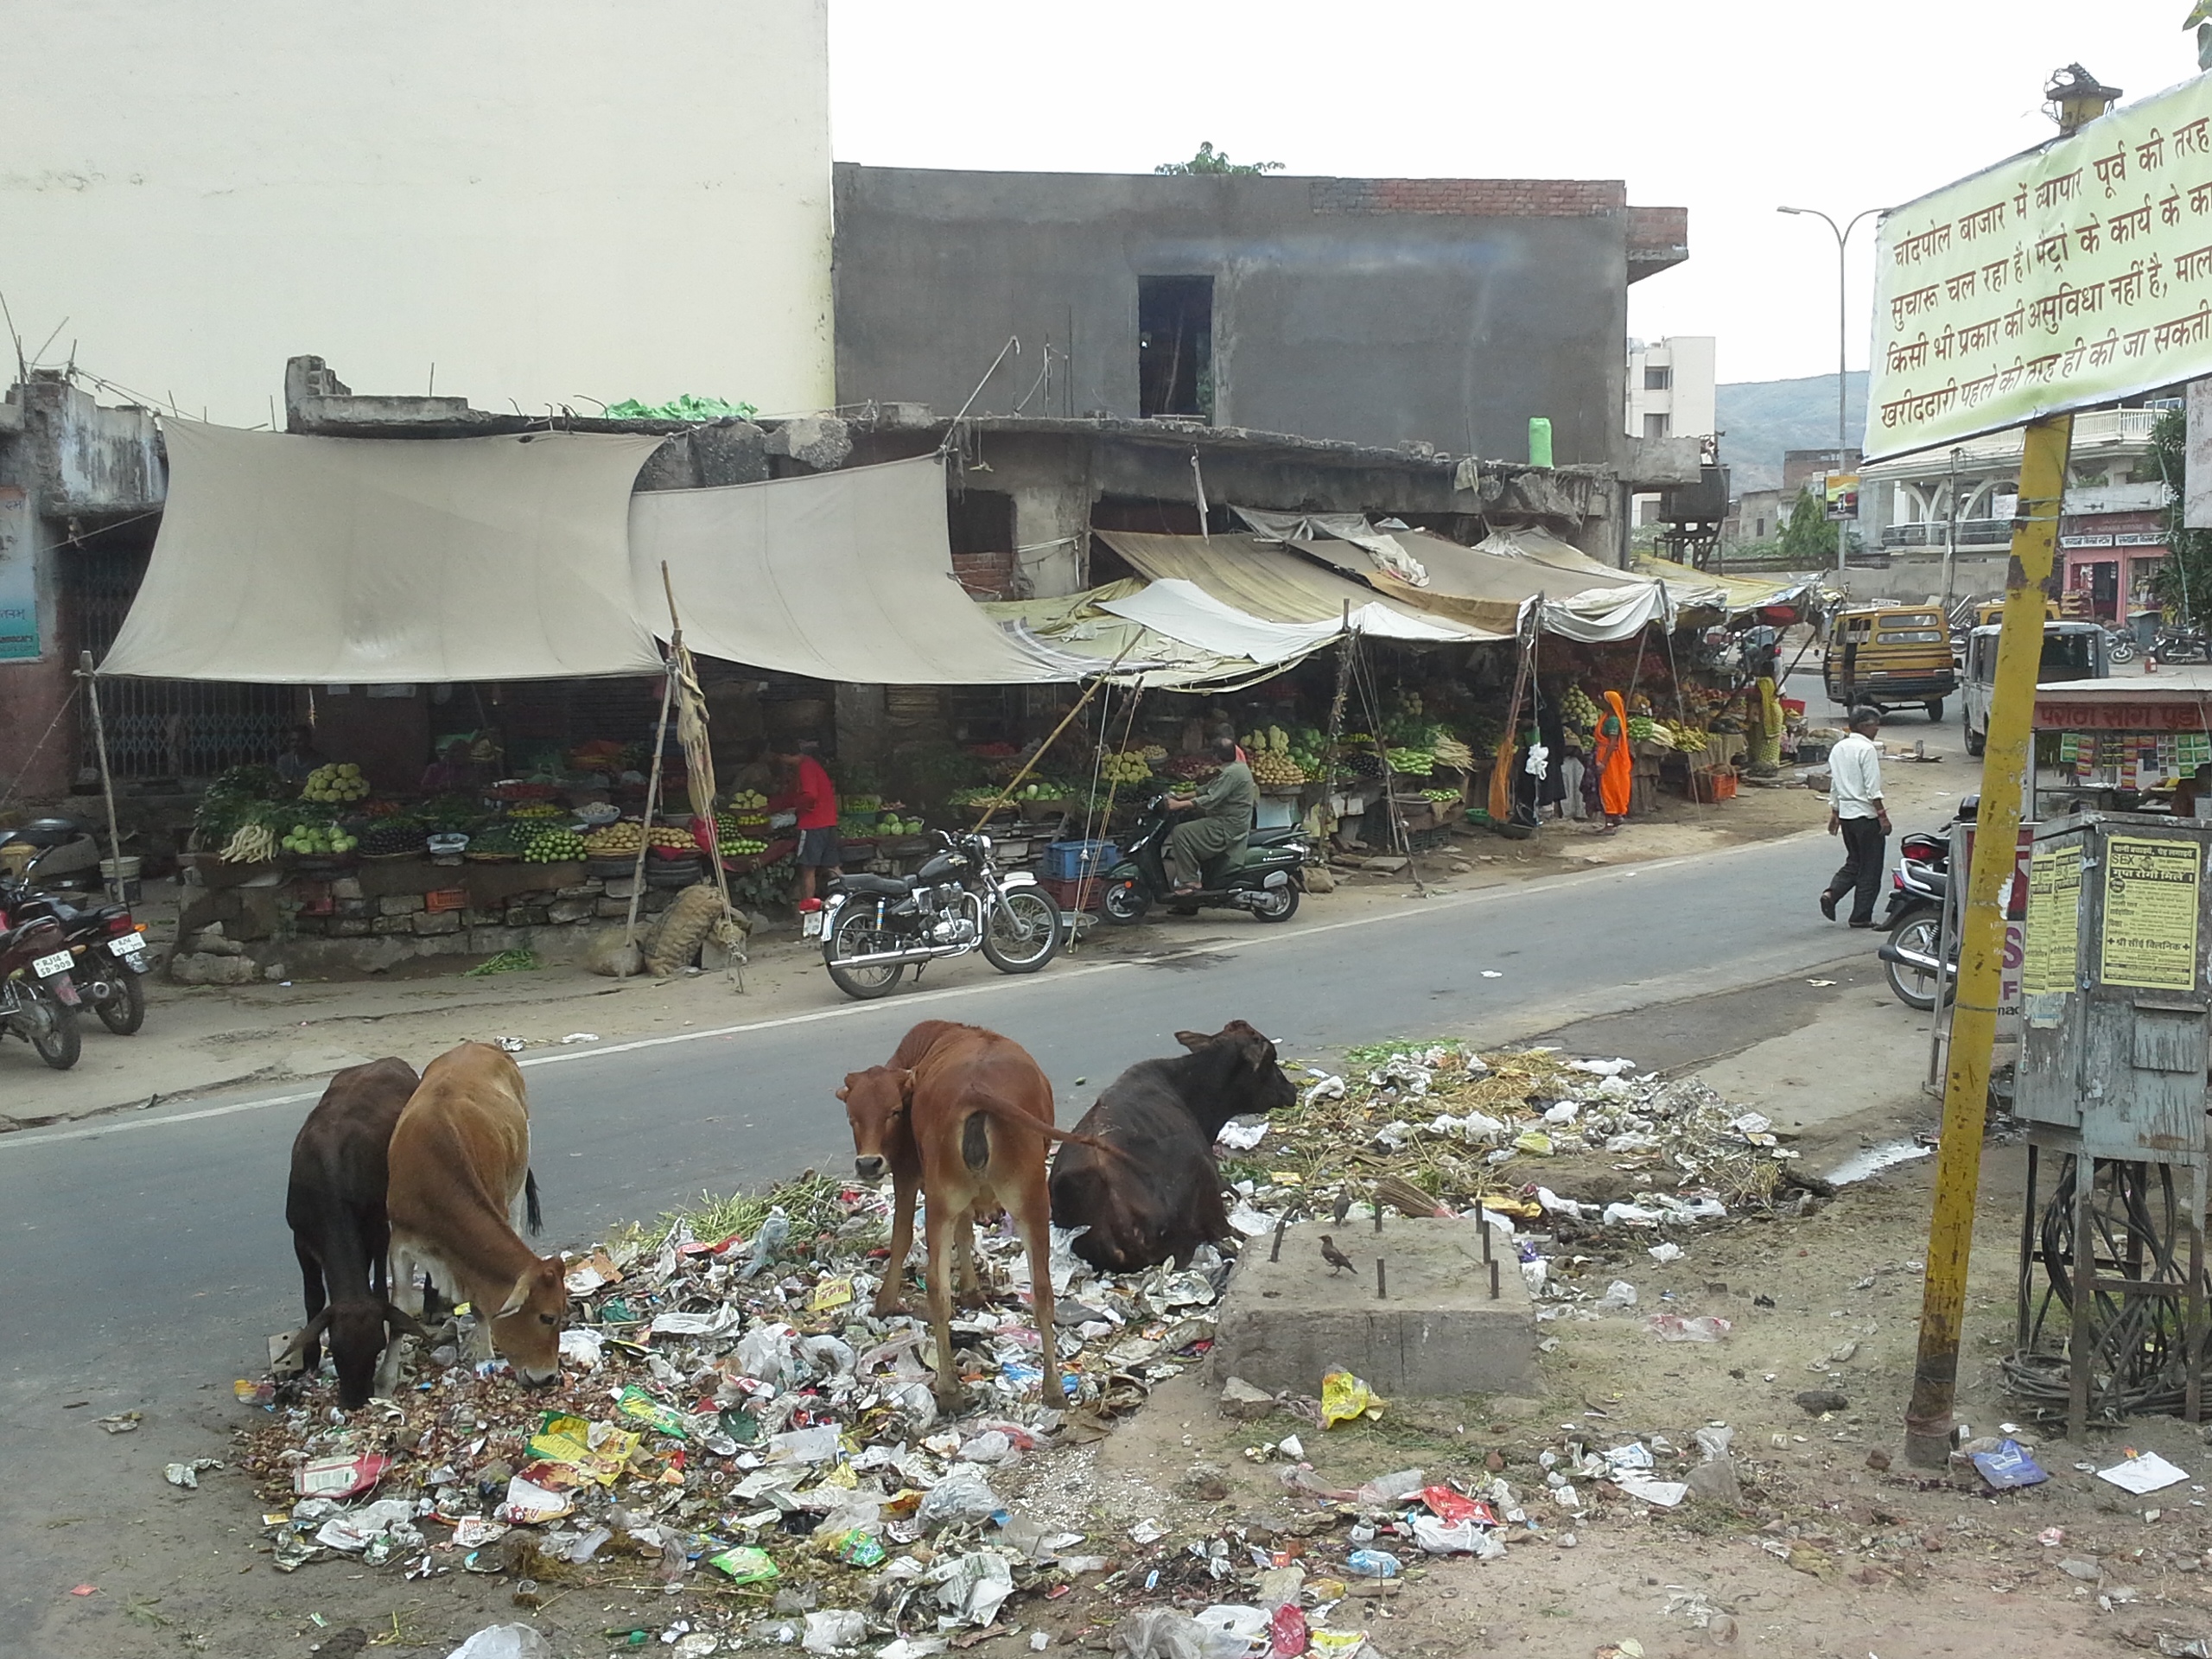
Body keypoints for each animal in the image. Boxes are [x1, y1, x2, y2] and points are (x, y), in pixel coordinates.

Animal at [387, 1039, 566, 1389]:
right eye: (547, 1316)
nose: (549, 1376)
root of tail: (479, 1045)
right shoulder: (399, 1241)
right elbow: (398, 1311)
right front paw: (383, 1382)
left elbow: (480, 1305)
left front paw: (485, 1357)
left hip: (516, 1185)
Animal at [836, 1021, 1106, 1407]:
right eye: (851, 1117)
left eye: (894, 1112)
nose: (868, 1163)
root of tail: (974, 1093)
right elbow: (958, 1233)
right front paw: (971, 1290)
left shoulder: (907, 1171)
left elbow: (904, 1237)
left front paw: (887, 1302)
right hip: (1027, 1199)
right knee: (1036, 1289)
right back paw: (1045, 1388)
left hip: (951, 1199)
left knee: (941, 1285)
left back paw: (956, 1389)